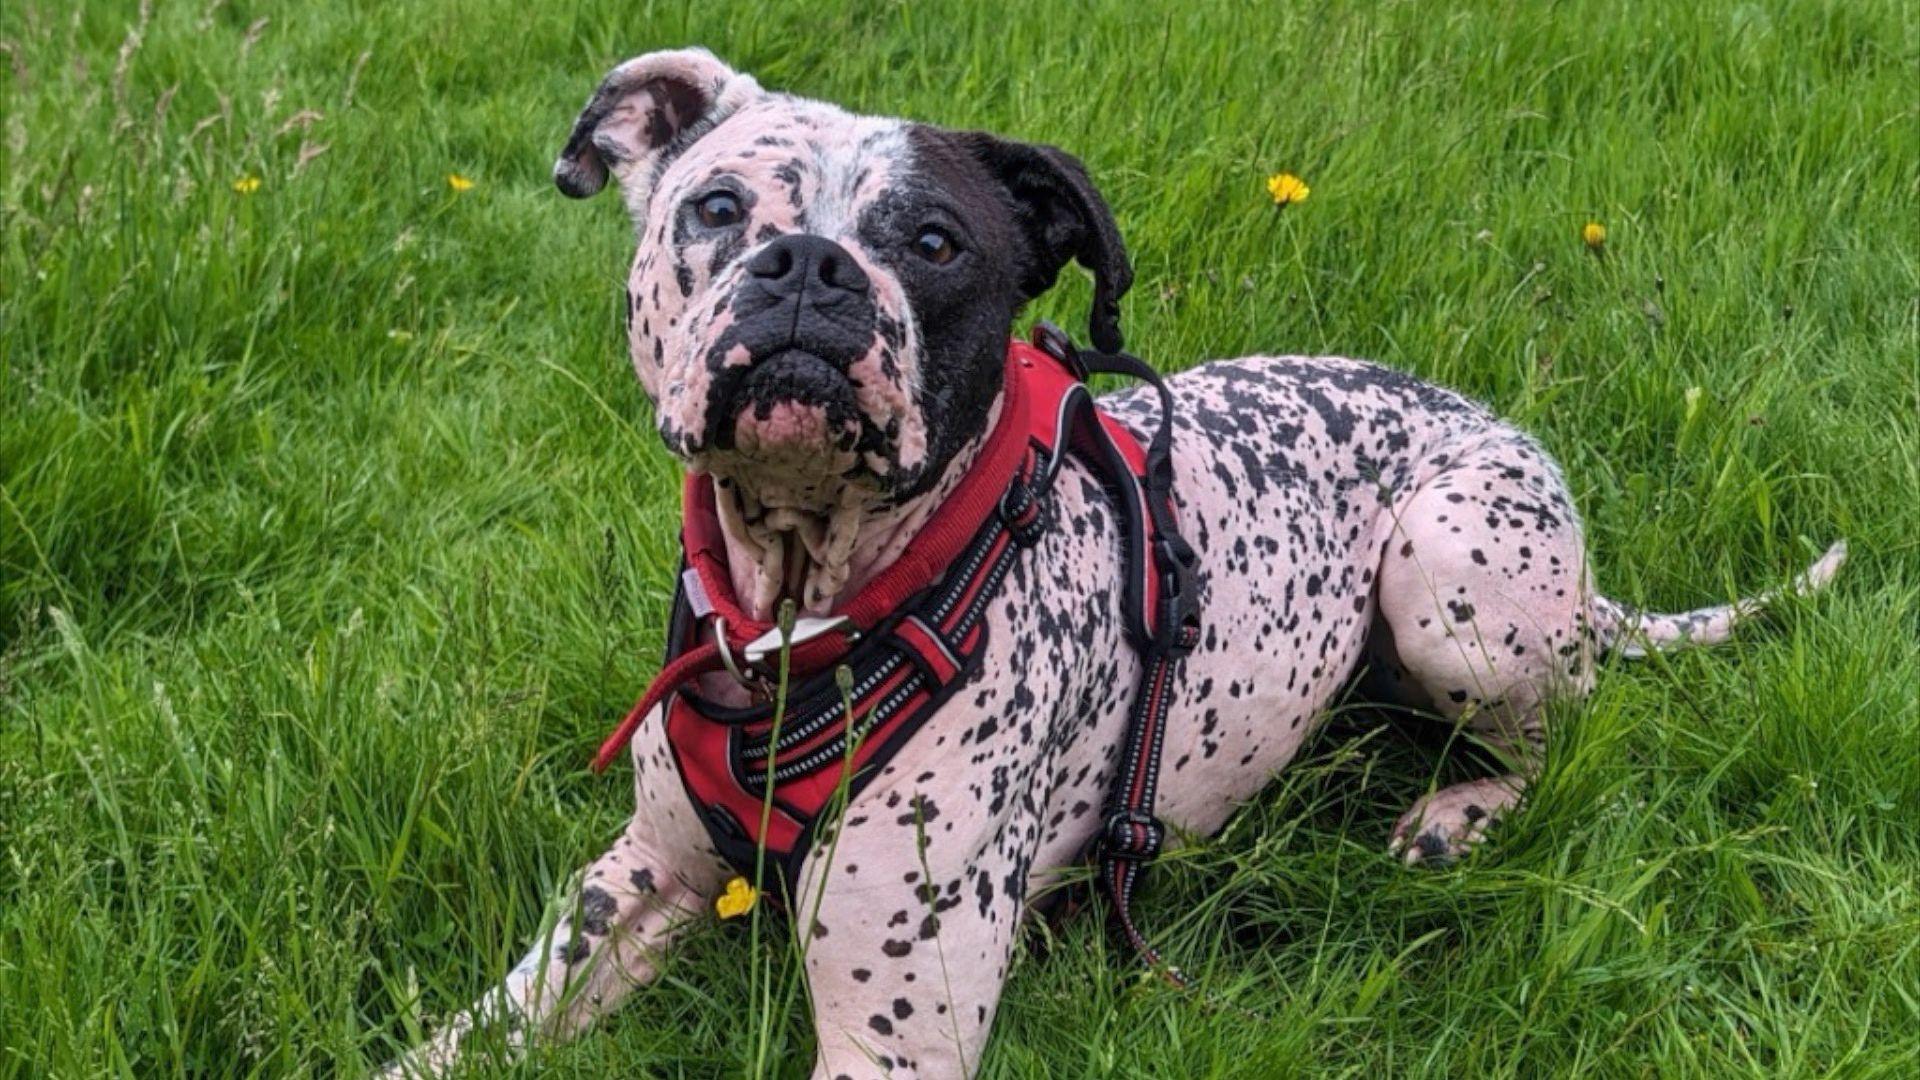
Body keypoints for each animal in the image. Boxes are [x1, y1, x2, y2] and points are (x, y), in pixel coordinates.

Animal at [385, 48, 1843, 1076]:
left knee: (1565, 742)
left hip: (1453, 583)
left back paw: (1458, 812)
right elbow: (472, 1037)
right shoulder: (634, 886)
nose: (808, 267)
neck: (803, 615)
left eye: (935, 243)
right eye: (719, 206)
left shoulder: (894, 1036)